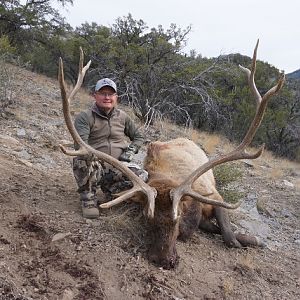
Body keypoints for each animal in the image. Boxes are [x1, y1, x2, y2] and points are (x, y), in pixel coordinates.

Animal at [58, 40, 284, 270]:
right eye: (147, 218)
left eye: (177, 218)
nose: (164, 260)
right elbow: (213, 229)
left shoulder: (214, 196)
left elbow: (229, 237)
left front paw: (255, 240)